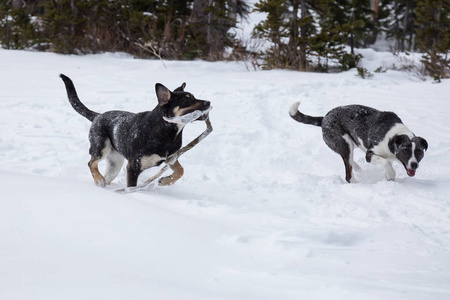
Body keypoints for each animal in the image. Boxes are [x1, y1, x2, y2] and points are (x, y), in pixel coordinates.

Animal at [60, 74, 213, 188]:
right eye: (186, 101)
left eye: (194, 96)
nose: (209, 102)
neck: (165, 130)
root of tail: (97, 116)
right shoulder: (133, 166)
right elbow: (131, 186)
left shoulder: (171, 158)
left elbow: (181, 171)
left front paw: (165, 181)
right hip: (101, 148)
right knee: (91, 162)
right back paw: (99, 179)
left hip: (115, 163)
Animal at [290, 102, 428, 183]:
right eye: (405, 150)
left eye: (419, 152)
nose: (414, 165)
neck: (393, 137)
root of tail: (324, 118)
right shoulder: (370, 154)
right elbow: (385, 162)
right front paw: (390, 173)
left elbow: (387, 161)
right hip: (345, 143)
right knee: (348, 175)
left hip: (352, 143)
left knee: (349, 161)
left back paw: (356, 167)